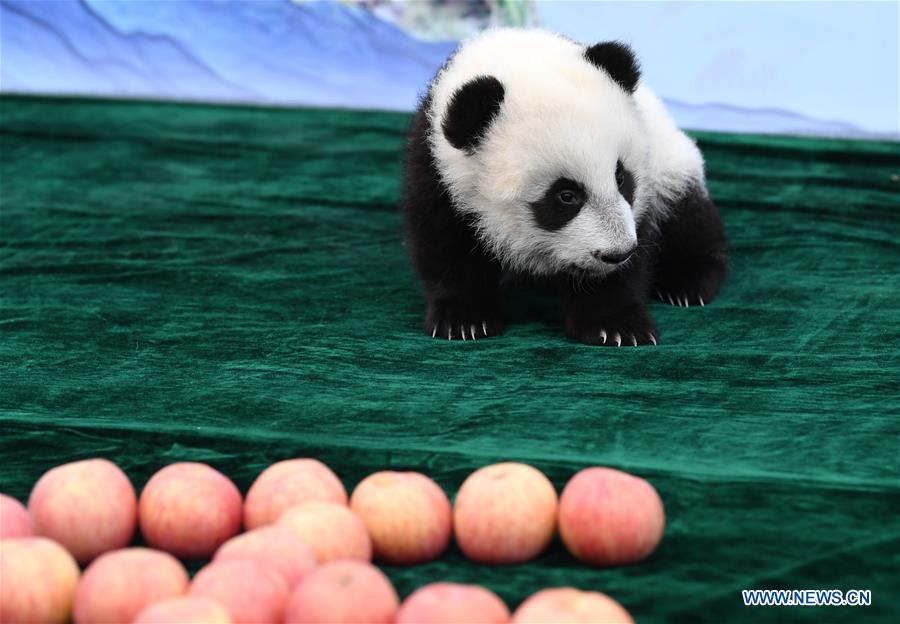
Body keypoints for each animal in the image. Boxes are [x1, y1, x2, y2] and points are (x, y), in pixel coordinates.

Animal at [398, 29, 728, 346]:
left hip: (669, 164)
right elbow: (445, 243)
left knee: (687, 217)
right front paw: (465, 320)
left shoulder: (643, 193)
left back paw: (687, 284)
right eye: (566, 196)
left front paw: (617, 325)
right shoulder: (437, 169)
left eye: (621, 177)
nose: (617, 254)